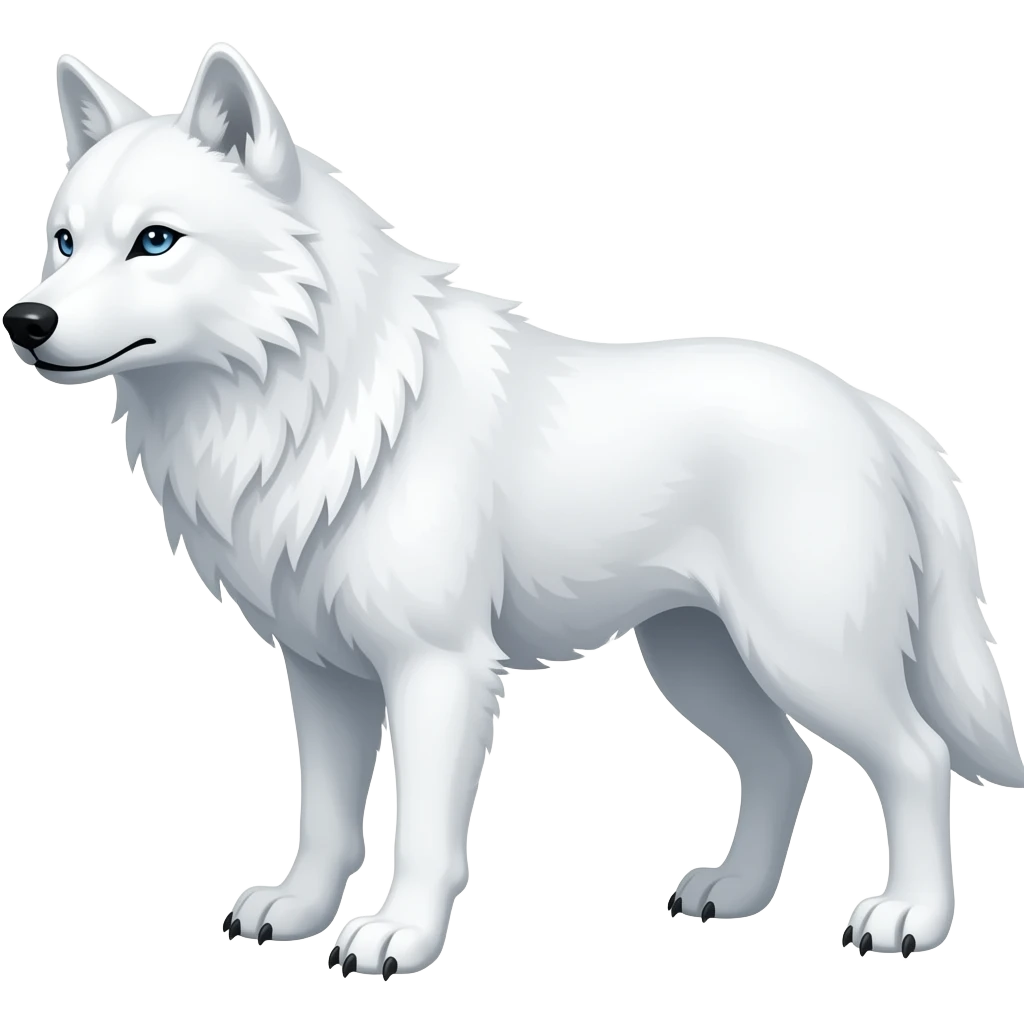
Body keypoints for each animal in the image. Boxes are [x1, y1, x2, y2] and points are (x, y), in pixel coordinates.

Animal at [4, 43, 1020, 976]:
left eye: (156, 241)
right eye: (64, 241)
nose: (25, 321)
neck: (316, 401)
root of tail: (877, 412)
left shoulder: (438, 669)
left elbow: (420, 832)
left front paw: (397, 937)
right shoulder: (323, 673)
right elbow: (326, 818)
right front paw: (297, 913)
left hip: (806, 657)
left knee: (918, 757)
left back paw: (908, 919)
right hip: (698, 662)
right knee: (785, 761)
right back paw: (734, 893)